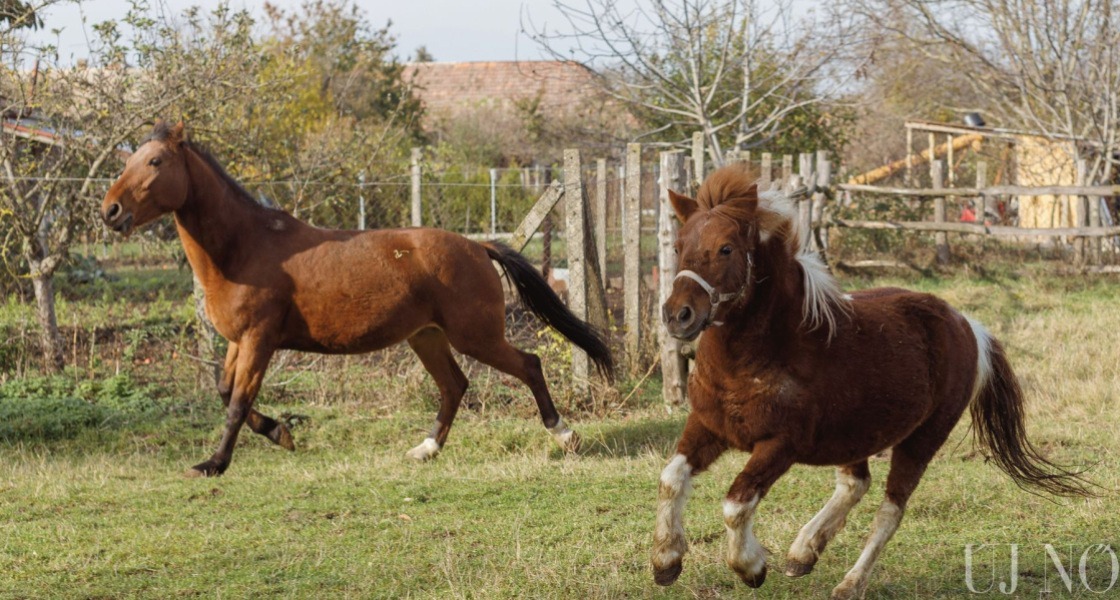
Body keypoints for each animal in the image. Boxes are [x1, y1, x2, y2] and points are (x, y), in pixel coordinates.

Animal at [101, 123, 613, 479]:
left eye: (155, 162)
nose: (110, 211)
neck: (243, 248)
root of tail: (478, 246)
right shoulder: (237, 340)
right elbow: (228, 392)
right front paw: (282, 434)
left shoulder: (259, 339)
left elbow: (237, 402)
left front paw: (213, 464)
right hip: (427, 337)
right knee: (455, 386)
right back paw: (425, 450)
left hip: (475, 336)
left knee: (528, 365)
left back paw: (565, 436)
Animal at [649, 165, 1084, 600]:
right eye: (679, 246)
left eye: (726, 249)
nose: (677, 316)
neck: (757, 356)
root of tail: (969, 326)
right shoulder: (707, 425)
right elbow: (671, 479)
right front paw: (666, 561)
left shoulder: (779, 445)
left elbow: (736, 504)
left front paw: (751, 567)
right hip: (855, 432)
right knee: (855, 483)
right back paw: (803, 551)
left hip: (922, 438)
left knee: (890, 510)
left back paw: (850, 582)